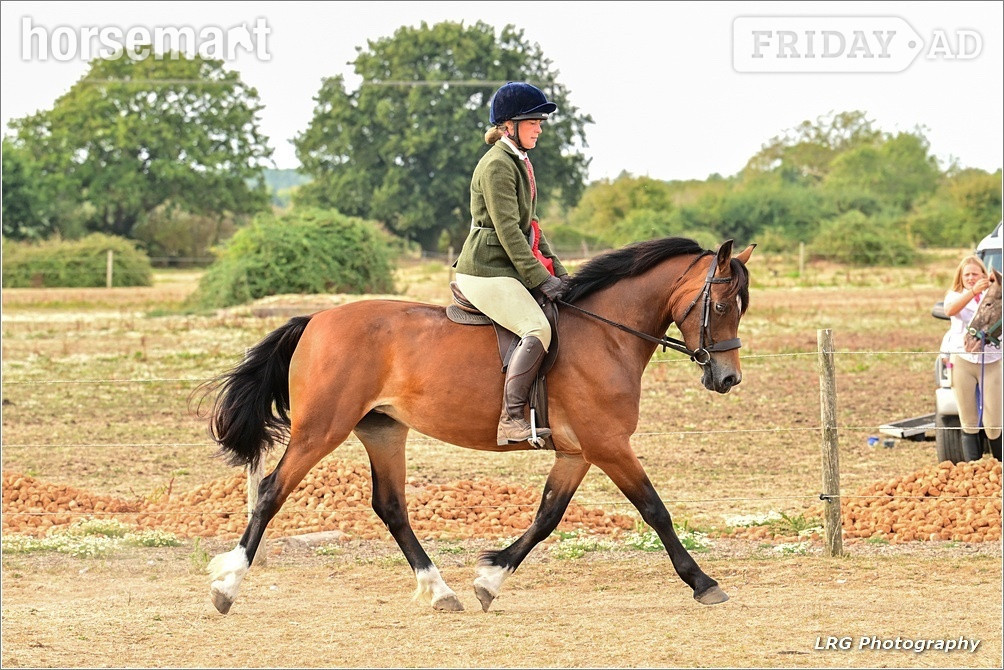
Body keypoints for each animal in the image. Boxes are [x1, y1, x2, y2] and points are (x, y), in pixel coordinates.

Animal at [199, 236, 755, 615]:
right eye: (721, 305)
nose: (728, 378)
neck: (607, 333)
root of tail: (315, 320)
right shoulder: (609, 445)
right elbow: (655, 510)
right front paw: (704, 583)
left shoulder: (578, 451)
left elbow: (547, 516)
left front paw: (490, 579)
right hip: (321, 429)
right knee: (272, 491)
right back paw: (227, 586)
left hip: (383, 430)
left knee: (391, 507)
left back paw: (441, 591)